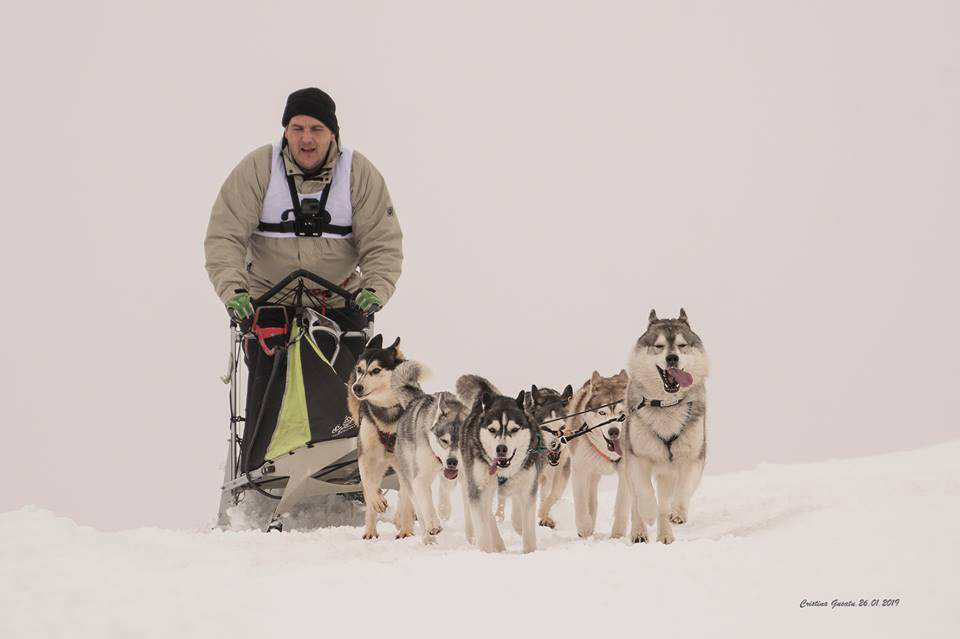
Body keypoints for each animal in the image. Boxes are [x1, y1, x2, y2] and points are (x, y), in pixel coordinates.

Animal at [348, 334, 416, 540]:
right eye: (360, 369)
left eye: (376, 370)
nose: (356, 387)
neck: (387, 413)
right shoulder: (365, 455)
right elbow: (367, 483)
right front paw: (378, 501)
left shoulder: (406, 462)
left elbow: (406, 498)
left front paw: (405, 528)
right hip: (379, 464)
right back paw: (370, 531)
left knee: (406, 496)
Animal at [390, 360, 467, 544]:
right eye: (444, 440)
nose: (452, 462)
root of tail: (416, 399)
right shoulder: (420, 480)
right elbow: (426, 506)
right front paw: (433, 524)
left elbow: (446, 487)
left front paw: (444, 509)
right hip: (409, 478)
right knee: (419, 507)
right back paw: (428, 537)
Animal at [456, 375, 542, 553]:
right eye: (492, 430)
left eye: (514, 429)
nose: (501, 448)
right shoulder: (477, 490)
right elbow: (482, 527)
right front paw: (485, 552)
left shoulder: (528, 490)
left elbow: (529, 530)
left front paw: (530, 552)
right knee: (487, 513)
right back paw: (497, 544)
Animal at [565, 370, 635, 538]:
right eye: (602, 412)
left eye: (622, 413)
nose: (614, 431)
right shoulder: (580, 471)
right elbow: (581, 505)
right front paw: (585, 529)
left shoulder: (626, 472)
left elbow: (622, 505)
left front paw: (617, 535)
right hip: (592, 472)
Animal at [624, 309, 709, 544]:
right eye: (659, 346)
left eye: (681, 345)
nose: (672, 358)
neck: (666, 405)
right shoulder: (638, 457)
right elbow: (644, 493)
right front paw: (648, 514)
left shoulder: (693, 457)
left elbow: (683, 488)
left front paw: (677, 512)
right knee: (635, 501)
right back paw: (639, 531)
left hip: (666, 473)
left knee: (664, 500)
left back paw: (665, 534)